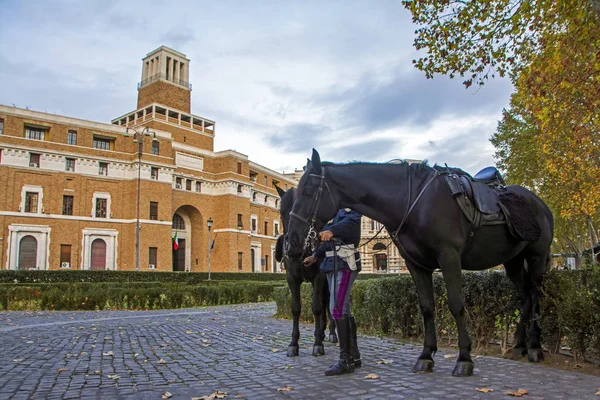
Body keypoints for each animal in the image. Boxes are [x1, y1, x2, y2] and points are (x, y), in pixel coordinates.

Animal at [274, 184, 336, 356]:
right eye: (282, 212)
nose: (292, 245)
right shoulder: (292, 278)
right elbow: (296, 308)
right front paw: (293, 343)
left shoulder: (319, 277)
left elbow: (316, 307)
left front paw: (317, 344)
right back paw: (321, 332)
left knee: (327, 303)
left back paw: (331, 333)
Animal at [286, 148, 552, 376]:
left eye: (308, 192)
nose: (292, 240)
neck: (413, 202)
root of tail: (538, 201)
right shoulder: (415, 264)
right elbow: (426, 307)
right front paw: (426, 355)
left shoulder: (449, 257)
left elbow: (456, 305)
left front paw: (464, 358)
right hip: (513, 262)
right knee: (526, 297)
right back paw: (519, 346)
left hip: (536, 257)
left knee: (536, 294)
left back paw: (535, 347)